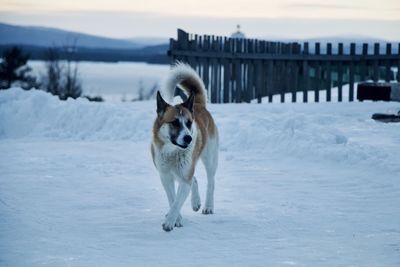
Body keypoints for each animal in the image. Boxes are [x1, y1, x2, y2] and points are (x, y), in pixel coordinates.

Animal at [151, 62, 219, 232]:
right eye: (174, 122)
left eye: (188, 123)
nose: (188, 138)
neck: (172, 152)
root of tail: (198, 104)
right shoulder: (165, 176)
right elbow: (172, 198)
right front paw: (176, 218)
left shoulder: (183, 177)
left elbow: (177, 202)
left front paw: (170, 222)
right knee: (193, 179)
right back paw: (195, 202)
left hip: (210, 159)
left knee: (210, 181)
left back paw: (208, 206)